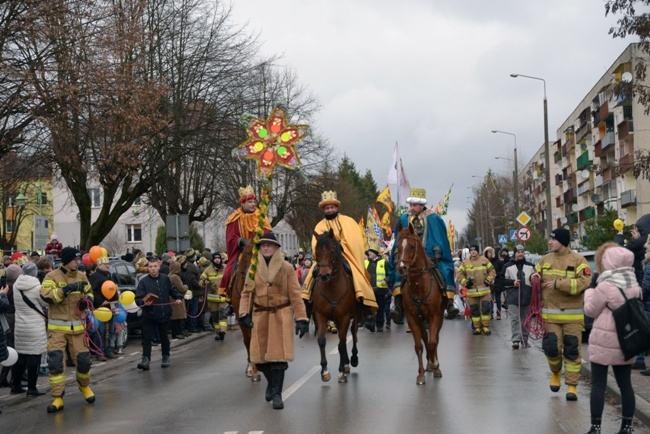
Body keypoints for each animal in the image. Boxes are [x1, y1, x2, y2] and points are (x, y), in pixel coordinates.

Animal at [310, 229, 360, 382]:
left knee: (353, 333)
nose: (324, 275)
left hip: (355, 315)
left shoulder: (344, 317)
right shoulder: (320, 315)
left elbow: (342, 344)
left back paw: (352, 360)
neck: (332, 288)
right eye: (316, 251)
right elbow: (322, 341)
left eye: (332, 251)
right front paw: (324, 371)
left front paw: (341, 371)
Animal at [392, 225, 442, 384]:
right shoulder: (412, 317)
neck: (419, 286)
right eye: (398, 247)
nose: (402, 267)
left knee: (434, 339)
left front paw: (435, 364)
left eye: (412, 246)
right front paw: (421, 374)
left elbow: (433, 342)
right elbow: (419, 345)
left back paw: (435, 366)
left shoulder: (435, 316)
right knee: (425, 337)